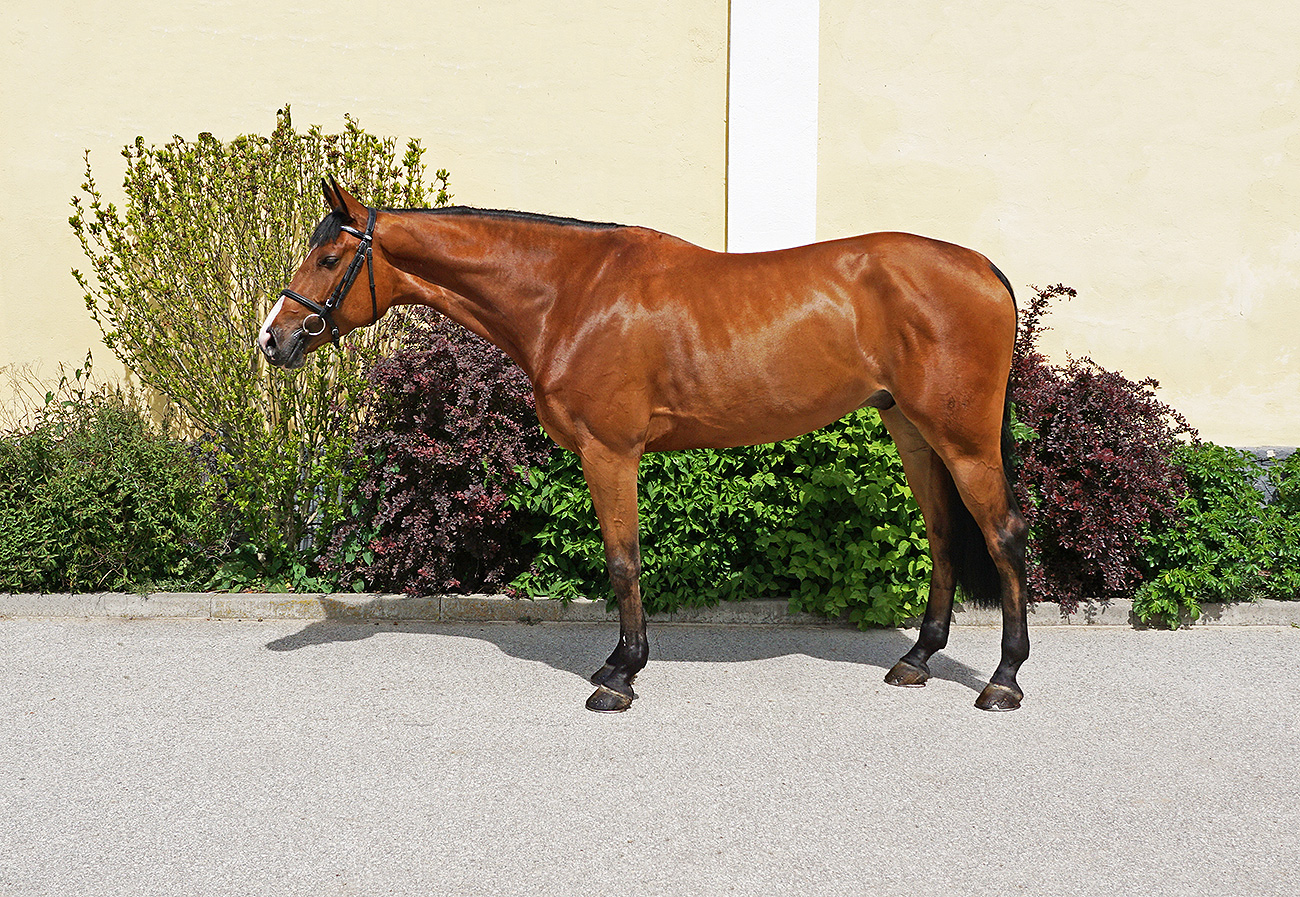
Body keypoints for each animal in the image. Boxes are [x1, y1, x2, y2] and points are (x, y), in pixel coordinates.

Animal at [259, 178, 1029, 713]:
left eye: (330, 256)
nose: (274, 338)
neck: (569, 294)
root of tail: (985, 270)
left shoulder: (611, 452)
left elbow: (623, 562)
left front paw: (621, 676)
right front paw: (616, 664)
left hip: (962, 439)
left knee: (1003, 535)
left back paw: (1003, 681)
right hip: (912, 430)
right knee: (944, 535)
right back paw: (917, 661)